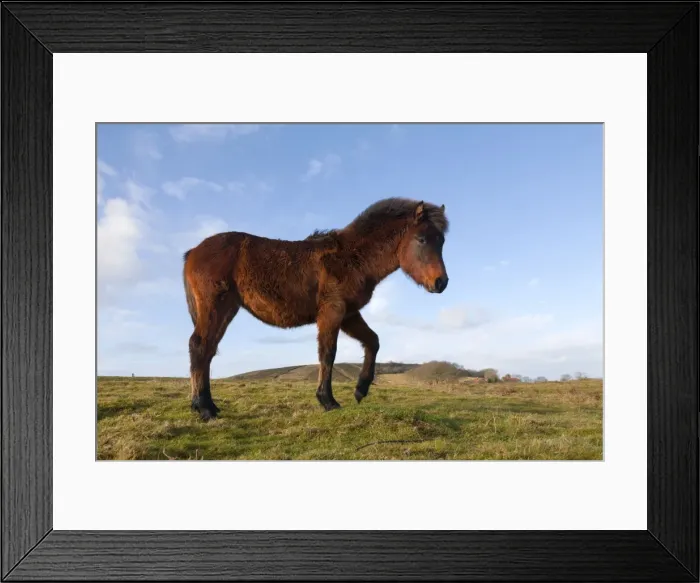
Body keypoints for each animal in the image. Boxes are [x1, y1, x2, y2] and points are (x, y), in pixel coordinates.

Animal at [182, 197, 450, 421]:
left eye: (442, 241)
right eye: (422, 239)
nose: (441, 283)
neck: (353, 259)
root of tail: (194, 251)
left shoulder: (349, 314)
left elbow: (372, 341)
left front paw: (360, 389)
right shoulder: (332, 312)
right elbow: (328, 354)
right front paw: (328, 400)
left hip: (225, 310)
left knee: (208, 350)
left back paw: (207, 405)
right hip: (217, 307)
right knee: (200, 346)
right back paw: (204, 408)